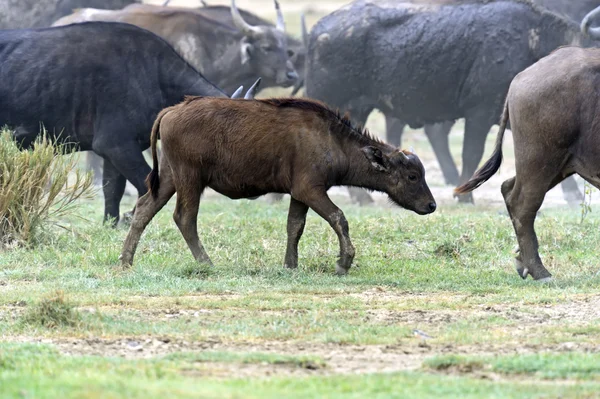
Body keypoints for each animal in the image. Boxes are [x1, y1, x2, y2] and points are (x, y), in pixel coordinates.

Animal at [0, 22, 255, 225]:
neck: (153, 75)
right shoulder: (117, 146)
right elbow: (145, 184)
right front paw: (131, 217)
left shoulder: (114, 152)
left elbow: (112, 188)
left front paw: (111, 222)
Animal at [119, 97, 436, 276]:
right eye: (412, 176)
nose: (431, 205)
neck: (331, 140)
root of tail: (172, 110)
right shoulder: (311, 190)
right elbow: (339, 218)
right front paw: (343, 262)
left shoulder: (299, 194)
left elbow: (294, 226)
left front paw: (290, 265)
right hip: (190, 179)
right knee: (185, 218)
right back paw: (206, 263)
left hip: (169, 178)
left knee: (143, 210)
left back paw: (125, 260)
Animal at [308, 0, 596, 205]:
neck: (532, 44)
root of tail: (318, 31)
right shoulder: (478, 114)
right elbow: (472, 153)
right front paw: (464, 195)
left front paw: (573, 196)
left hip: (357, 109)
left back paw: (363, 198)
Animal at [454, 44, 600, 282]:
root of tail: (520, 77)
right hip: (540, 160)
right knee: (521, 205)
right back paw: (540, 271)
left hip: (558, 165)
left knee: (508, 188)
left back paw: (523, 261)